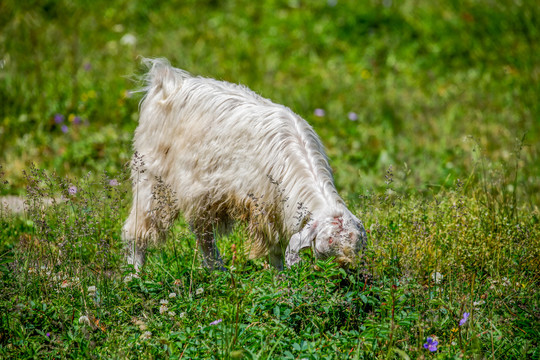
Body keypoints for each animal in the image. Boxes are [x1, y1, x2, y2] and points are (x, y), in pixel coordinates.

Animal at [122, 59, 368, 272]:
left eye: (356, 249)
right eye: (324, 251)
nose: (345, 271)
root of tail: (167, 82)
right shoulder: (264, 209)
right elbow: (275, 251)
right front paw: (280, 282)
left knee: (202, 232)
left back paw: (217, 272)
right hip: (152, 176)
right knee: (137, 229)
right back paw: (134, 275)